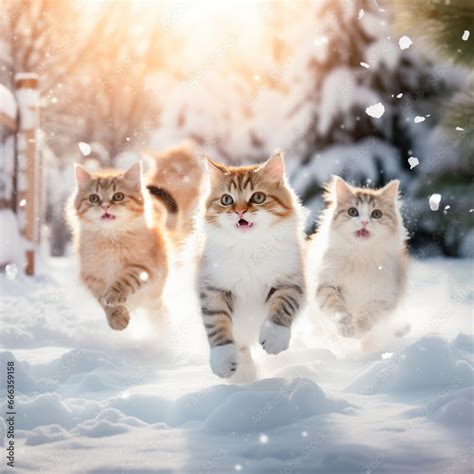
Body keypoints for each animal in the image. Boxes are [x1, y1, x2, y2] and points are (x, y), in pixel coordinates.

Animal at [68, 162, 168, 330]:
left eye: (118, 196)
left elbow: (125, 280)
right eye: (94, 198)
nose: (105, 206)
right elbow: (104, 302)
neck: (110, 238)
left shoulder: (145, 266)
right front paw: (117, 318)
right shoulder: (93, 277)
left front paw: (114, 295)